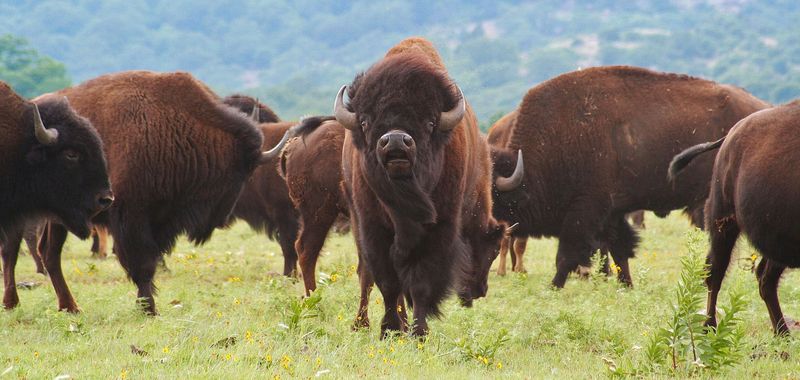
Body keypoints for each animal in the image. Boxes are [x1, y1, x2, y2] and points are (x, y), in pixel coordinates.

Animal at [332, 37, 500, 336]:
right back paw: (364, 323)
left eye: (430, 122)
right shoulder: (373, 229)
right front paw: (389, 329)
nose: (396, 140)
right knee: (367, 275)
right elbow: (387, 282)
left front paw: (419, 331)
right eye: (365, 121)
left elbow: (421, 284)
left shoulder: (438, 229)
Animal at [490, 67, 772, 288]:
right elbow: (619, 250)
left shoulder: (585, 211)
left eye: (493, 196)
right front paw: (626, 284)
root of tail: (763, 107)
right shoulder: (611, 213)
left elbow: (568, 254)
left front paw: (554, 286)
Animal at [672, 101, 796, 336]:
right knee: (715, 273)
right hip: (723, 223)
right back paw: (710, 327)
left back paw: (782, 333)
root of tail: (730, 135)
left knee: (765, 279)